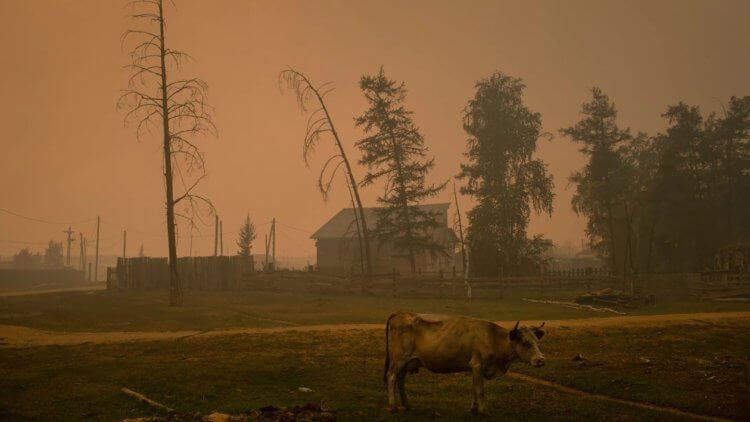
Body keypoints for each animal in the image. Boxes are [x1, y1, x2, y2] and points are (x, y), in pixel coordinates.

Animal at [388, 314, 548, 416]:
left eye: (536, 341)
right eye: (525, 343)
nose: (540, 360)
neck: (494, 337)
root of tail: (400, 314)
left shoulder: (473, 368)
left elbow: (473, 389)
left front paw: (474, 409)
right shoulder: (478, 365)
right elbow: (479, 390)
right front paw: (483, 411)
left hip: (407, 363)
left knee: (400, 380)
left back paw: (406, 405)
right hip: (399, 360)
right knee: (392, 377)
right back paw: (393, 407)